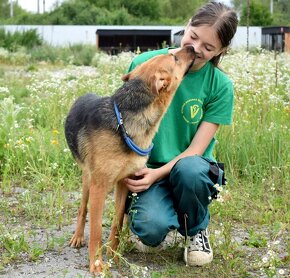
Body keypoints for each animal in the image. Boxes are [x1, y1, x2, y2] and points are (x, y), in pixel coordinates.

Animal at [64, 46, 196, 274]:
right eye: (175, 57)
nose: (192, 47)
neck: (123, 123)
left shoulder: (125, 182)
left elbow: (117, 222)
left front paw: (114, 255)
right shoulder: (99, 187)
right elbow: (96, 230)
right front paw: (96, 264)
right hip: (88, 180)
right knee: (82, 209)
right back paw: (78, 237)